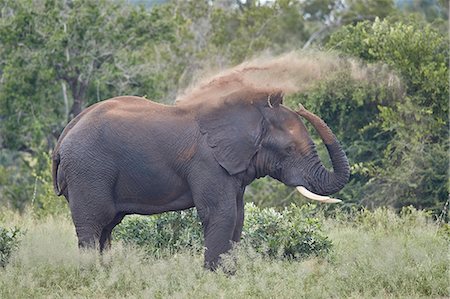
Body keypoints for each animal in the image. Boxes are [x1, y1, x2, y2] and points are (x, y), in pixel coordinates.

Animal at [51, 89, 348, 272]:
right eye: (288, 150)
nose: (303, 106)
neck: (251, 113)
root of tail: (62, 139)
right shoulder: (209, 163)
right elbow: (221, 214)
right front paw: (213, 278)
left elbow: (238, 216)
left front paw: (230, 276)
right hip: (88, 171)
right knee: (93, 224)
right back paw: (92, 274)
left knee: (107, 226)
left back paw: (106, 272)